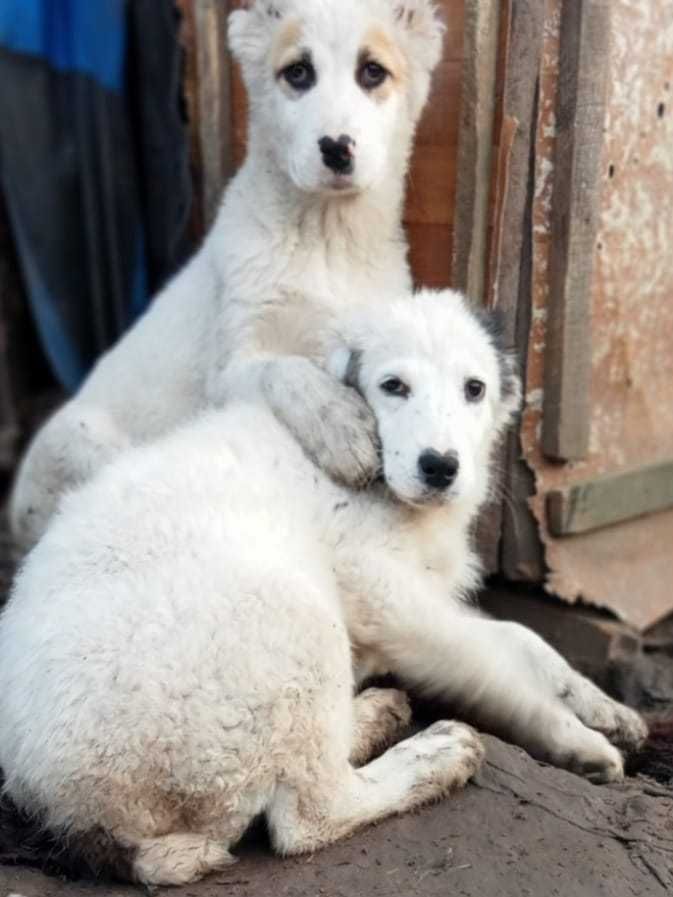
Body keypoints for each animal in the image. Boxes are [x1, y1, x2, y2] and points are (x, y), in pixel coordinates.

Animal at [0, 290, 644, 884]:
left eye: (475, 389)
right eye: (393, 386)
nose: (440, 466)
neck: (387, 487)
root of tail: (82, 814)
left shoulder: (425, 597)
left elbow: (518, 635)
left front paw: (606, 707)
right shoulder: (381, 591)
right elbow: (494, 665)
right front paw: (575, 740)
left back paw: (374, 714)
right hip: (293, 621)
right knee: (312, 813)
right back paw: (432, 756)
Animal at [7, 0, 444, 548]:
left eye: (373, 72)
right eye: (298, 73)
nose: (336, 148)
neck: (325, 240)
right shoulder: (225, 376)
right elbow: (286, 369)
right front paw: (340, 426)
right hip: (81, 438)